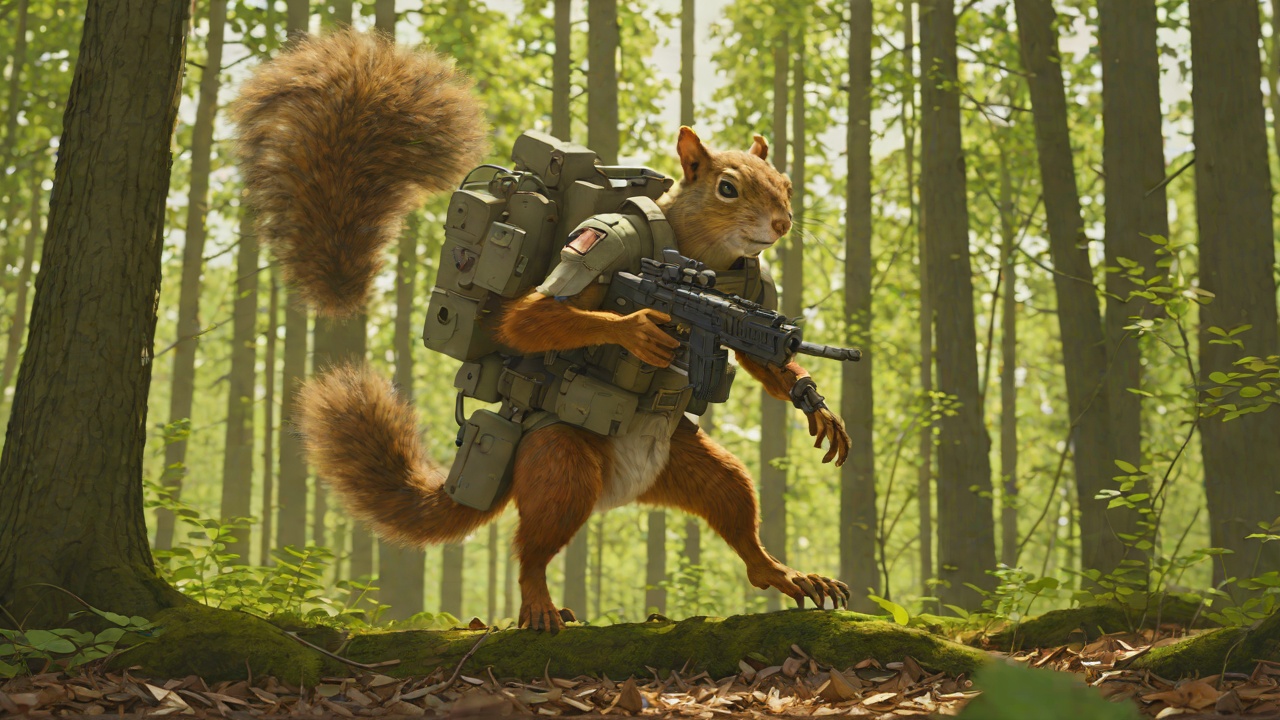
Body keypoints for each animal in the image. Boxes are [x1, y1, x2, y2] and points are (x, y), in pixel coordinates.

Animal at [233, 30, 854, 633]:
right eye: (728, 187)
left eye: (786, 183)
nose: (782, 223)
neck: (709, 264)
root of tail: (625, 489)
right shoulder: (605, 239)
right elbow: (527, 318)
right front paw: (636, 328)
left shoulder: (755, 295)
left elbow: (761, 361)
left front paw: (816, 406)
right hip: (560, 461)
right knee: (533, 545)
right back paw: (539, 606)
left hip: (695, 462)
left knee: (735, 508)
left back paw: (785, 575)